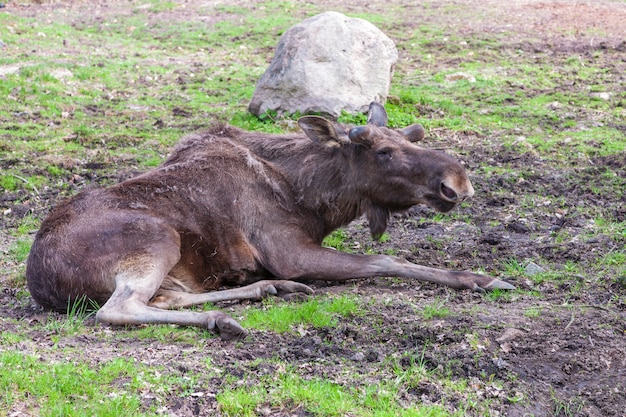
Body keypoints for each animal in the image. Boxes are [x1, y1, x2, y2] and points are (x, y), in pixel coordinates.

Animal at [25, 102, 512, 340]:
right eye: (384, 151)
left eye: (411, 137)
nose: (457, 181)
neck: (311, 198)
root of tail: (40, 281)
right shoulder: (289, 251)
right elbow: (387, 261)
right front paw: (482, 279)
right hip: (157, 238)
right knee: (117, 309)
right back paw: (224, 320)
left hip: (169, 266)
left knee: (165, 299)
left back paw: (265, 290)